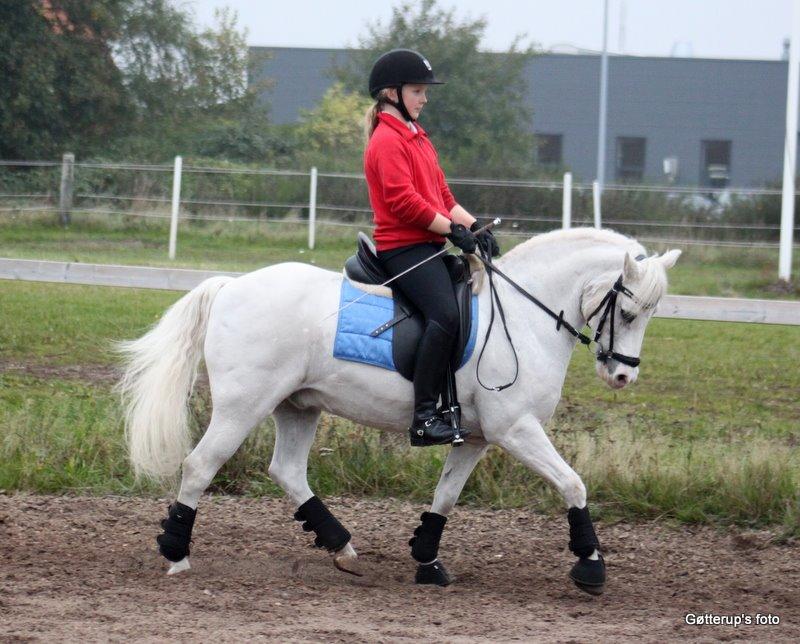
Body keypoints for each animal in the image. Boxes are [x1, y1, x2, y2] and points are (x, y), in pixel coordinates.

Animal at [116, 227, 680, 594]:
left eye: (651, 313)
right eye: (629, 312)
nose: (623, 376)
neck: (524, 315)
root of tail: (231, 285)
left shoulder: (476, 438)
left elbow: (446, 497)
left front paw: (427, 561)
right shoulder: (515, 428)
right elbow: (573, 484)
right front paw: (591, 566)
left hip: (297, 406)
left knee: (288, 470)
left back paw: (342, 547)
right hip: (243, 404)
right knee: (200, 466)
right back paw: (177, 554)